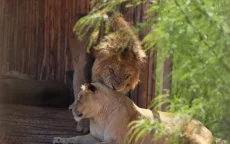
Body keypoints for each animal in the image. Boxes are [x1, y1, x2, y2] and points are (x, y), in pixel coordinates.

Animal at [53, 82, 215, 144]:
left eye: (80, 97)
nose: (70, 108)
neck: (99, 116)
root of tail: (203, 124)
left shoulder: (117, 141)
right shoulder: (94, 136)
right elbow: (76, 138)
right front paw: (60, 139)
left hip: (192, 135)